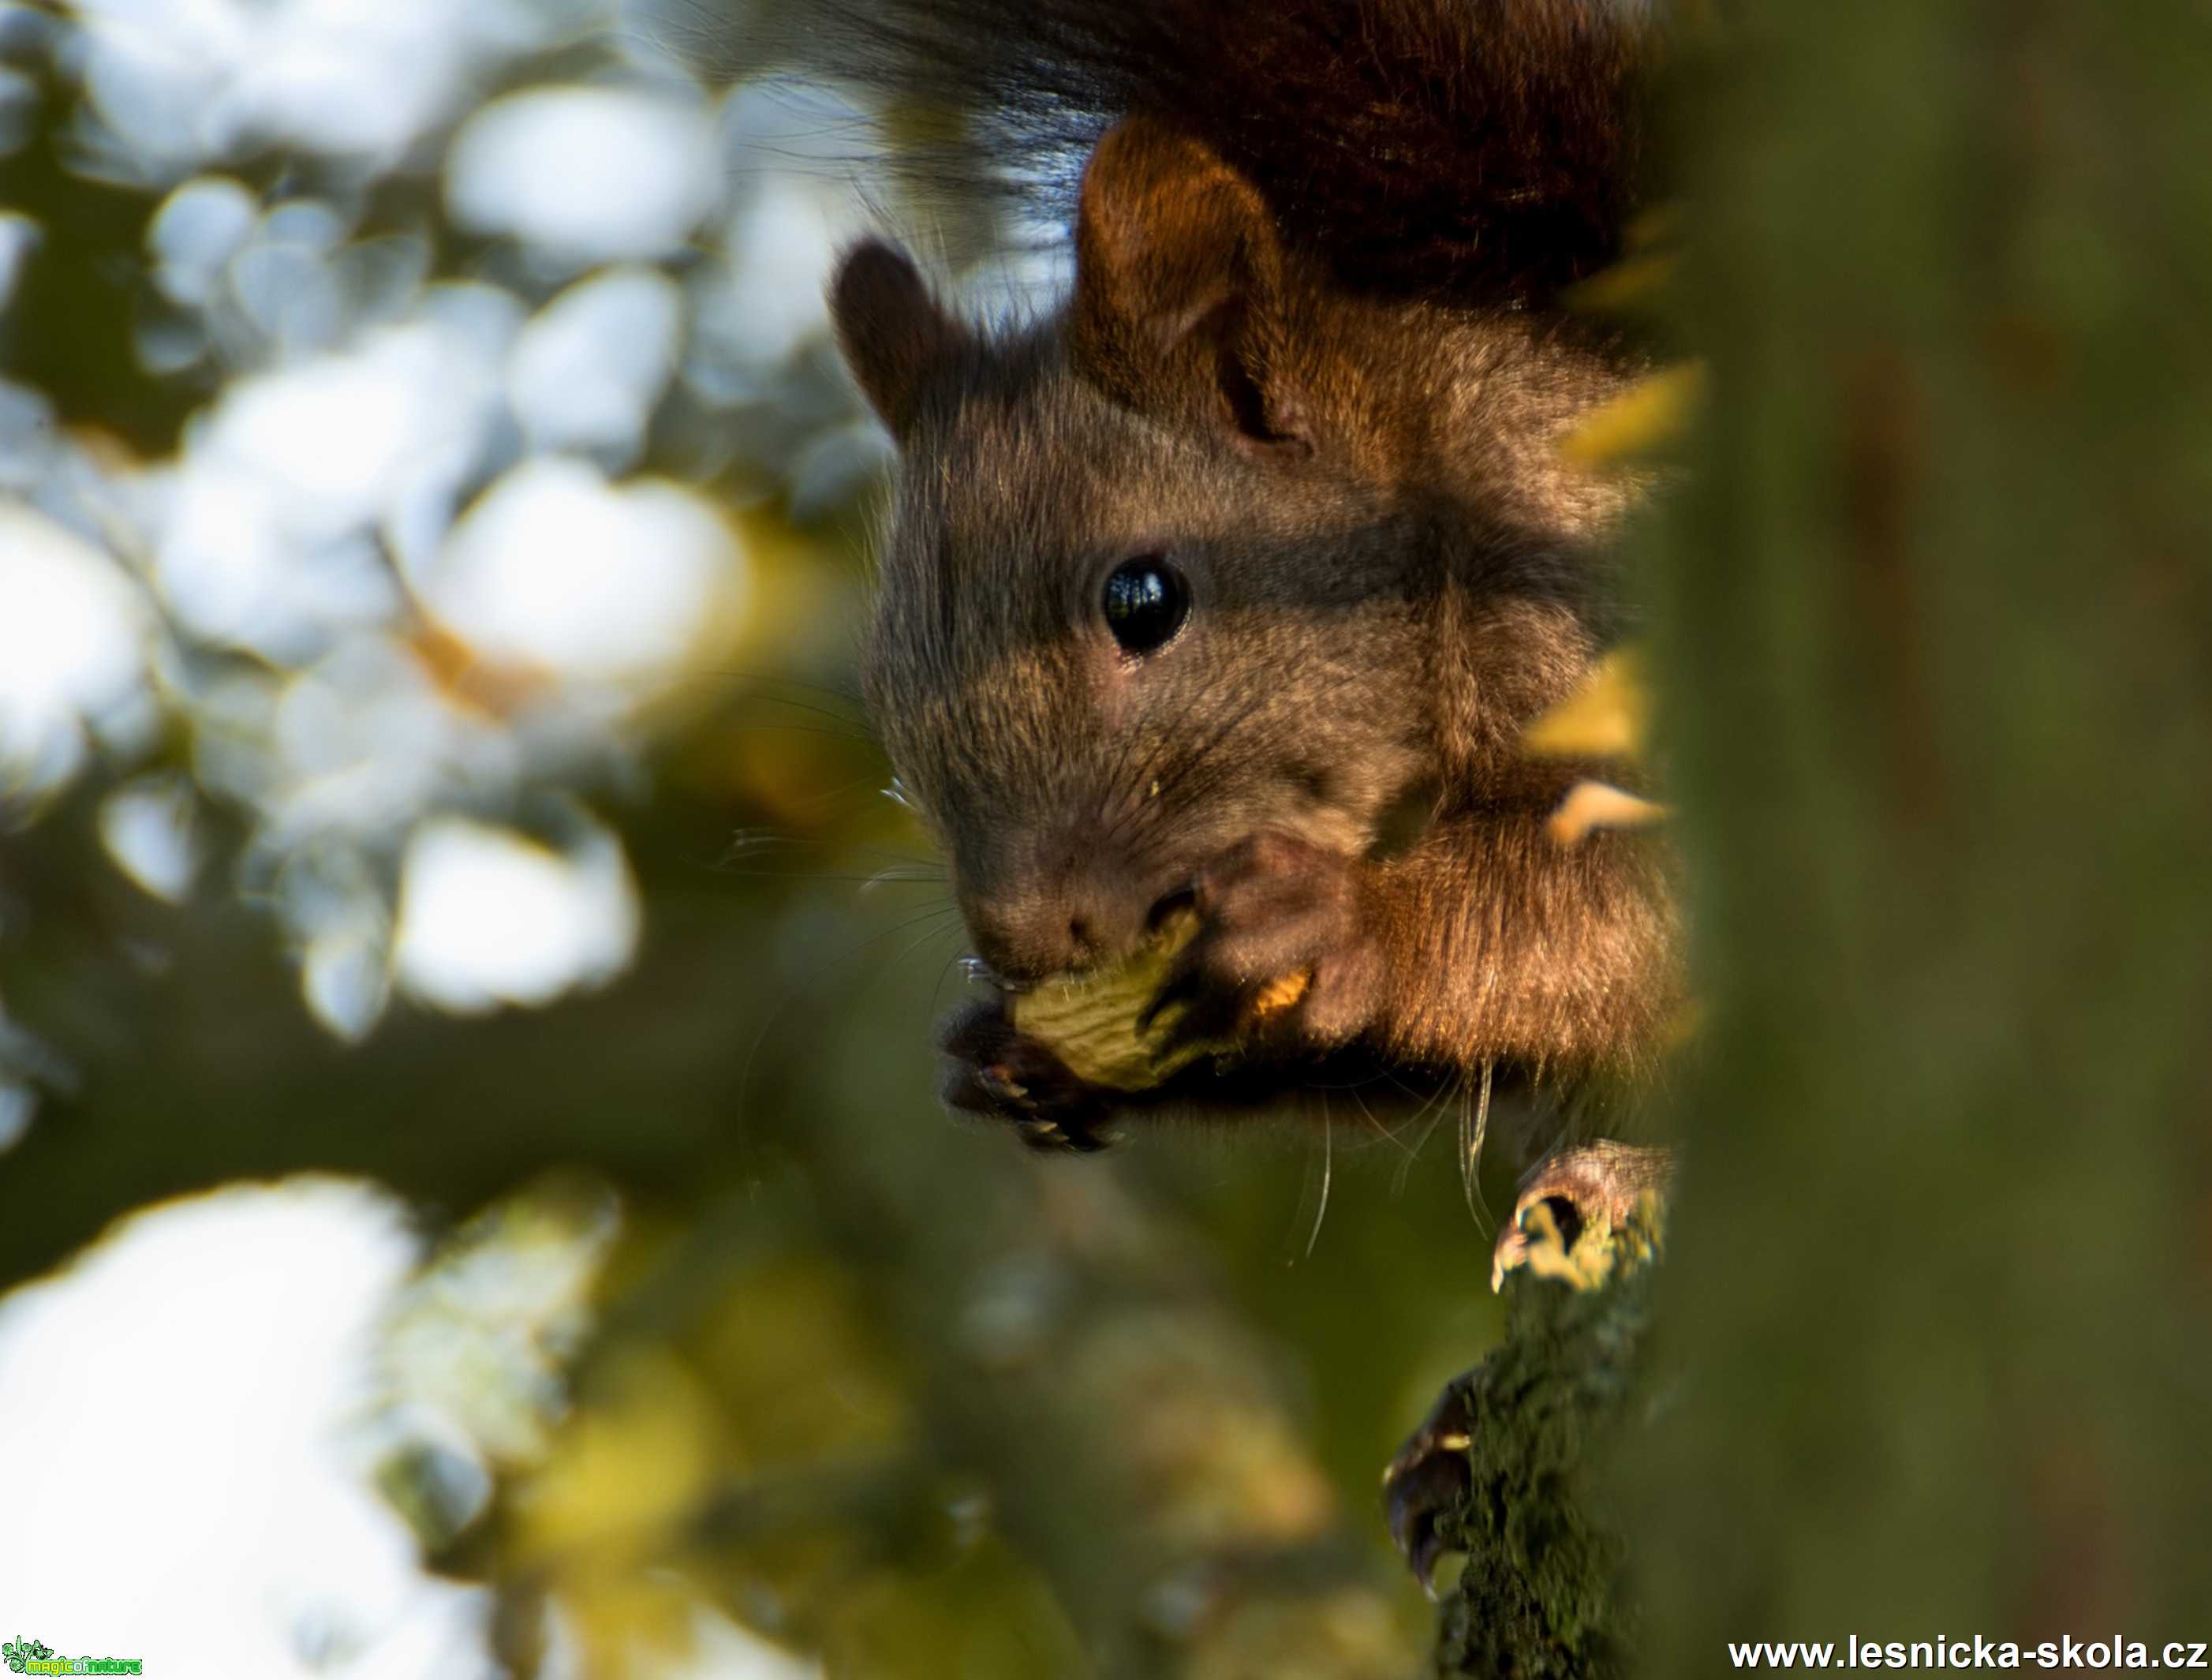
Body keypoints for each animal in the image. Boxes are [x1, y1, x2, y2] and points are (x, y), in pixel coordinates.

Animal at [805, 0, 1681, 1593]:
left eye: (1142, 598)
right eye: (886, 684)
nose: (1020, 939)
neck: (1427, 478)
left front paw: (1347, 922)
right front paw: (1017, 1057)